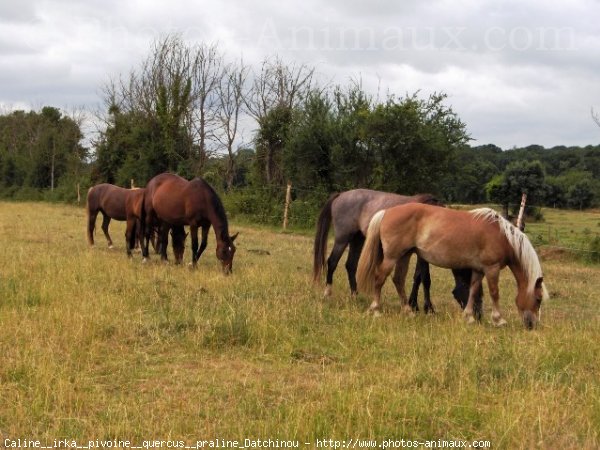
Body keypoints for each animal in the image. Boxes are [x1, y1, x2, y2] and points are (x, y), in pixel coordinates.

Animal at [314, 189, 482, 316]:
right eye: (474, 292)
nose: (478, 315)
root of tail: (341, 194)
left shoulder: (418, 254)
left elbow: (417, 277)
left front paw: (414, 305)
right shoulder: (423, 255)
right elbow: (426, 279)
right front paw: (429, 309)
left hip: (357, 239)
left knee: (350, 265)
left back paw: (355, 296)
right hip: (343, 238)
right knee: (332, 262)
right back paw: (327, 294)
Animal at [356, 203, 548, 326]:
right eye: (538, 299)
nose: (532, 325)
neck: (502, 236)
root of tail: (386, 212)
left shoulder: (479, 270)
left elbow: (473, 290)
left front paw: (469, 317)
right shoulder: (491, 268)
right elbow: (495, 293)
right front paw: (498, 320)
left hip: (405, 255)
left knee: (398, 280)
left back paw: (408, 311)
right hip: (391, 257)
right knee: (379, 278)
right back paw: (376, 310)